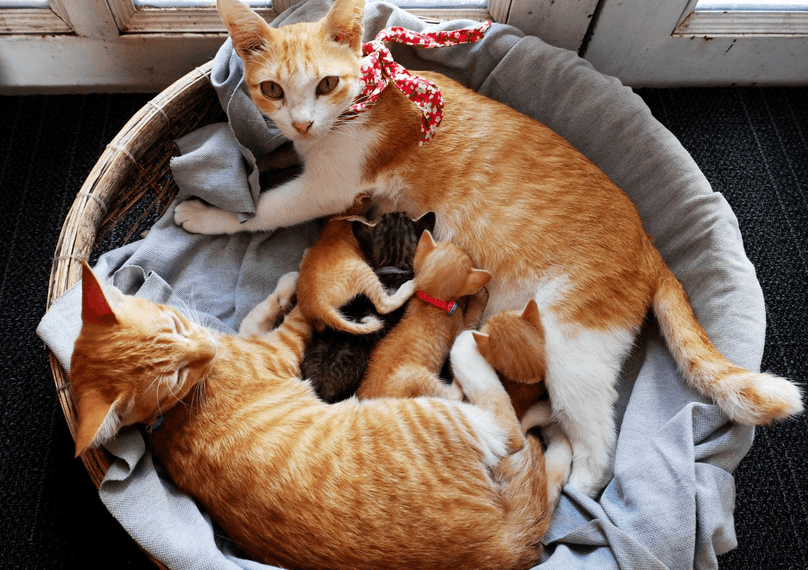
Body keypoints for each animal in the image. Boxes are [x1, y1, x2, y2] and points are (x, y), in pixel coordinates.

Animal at [72, 258, 572, 568]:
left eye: (175, 326)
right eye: (173, 377)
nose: (207, 350)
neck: (177, 409)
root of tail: (497, 549)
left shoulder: (253, 337)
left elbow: (260, 313)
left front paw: (283, 287)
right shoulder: (283, 349)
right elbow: (305, 314)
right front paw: (299, 286)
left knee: (537, 476)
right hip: (443, 416)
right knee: (510, 431)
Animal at [358, 230, 492, 400]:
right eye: (467, 256)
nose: (461, 245)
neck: (431, 299)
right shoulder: (458, 325)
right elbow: (472, 318)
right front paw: (480, 297)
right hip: (416, 377)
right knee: (452, 396)